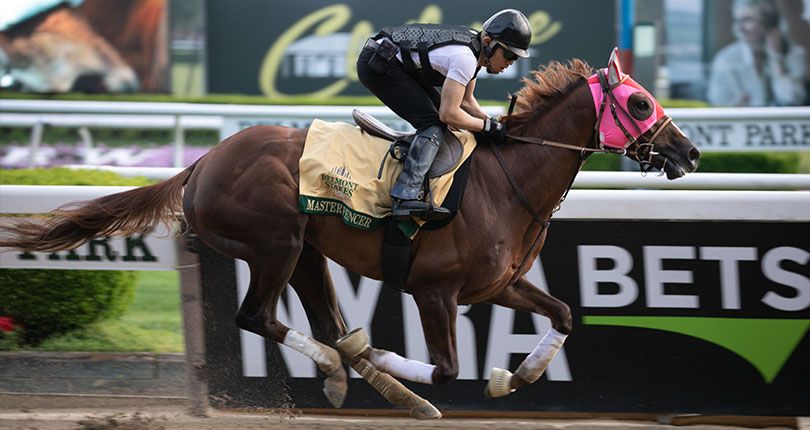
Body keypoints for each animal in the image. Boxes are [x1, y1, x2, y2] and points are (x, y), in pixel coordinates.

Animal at [0, 52, 696, 418]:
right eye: (640, 104)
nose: (687, 152)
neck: (506, 181)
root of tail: (202, 162)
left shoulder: (497, 286)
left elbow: (564, 313)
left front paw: (512, 377)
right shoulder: (435, 291)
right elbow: (446, 367)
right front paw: (394, 361)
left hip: (308, 253)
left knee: (327, 323)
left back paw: (364, 379)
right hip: (275, 244)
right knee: (262, 318)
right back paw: (353, 371)